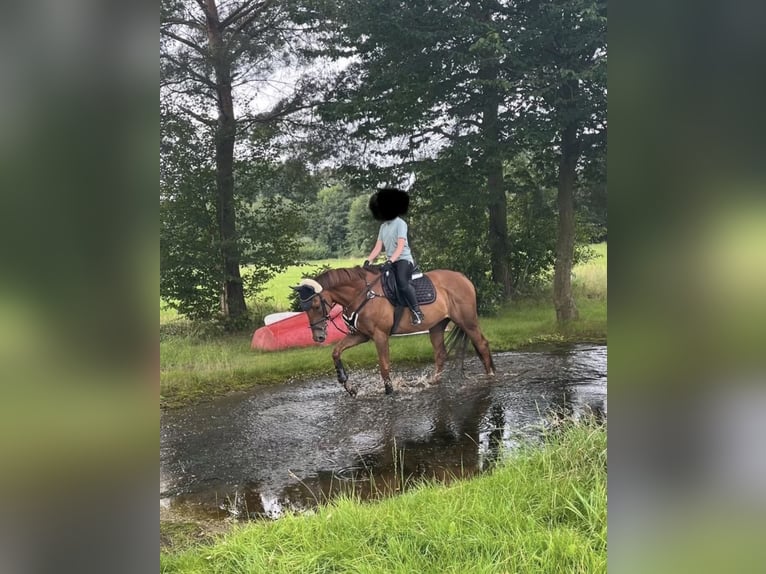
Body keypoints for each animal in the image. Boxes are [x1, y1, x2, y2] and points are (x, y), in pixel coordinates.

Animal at [291, 266, 495, 396]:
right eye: (304, 308)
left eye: (316, 305)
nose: (318, 336)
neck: (361, 294)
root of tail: (463, 278)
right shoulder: (361, 335)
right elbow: (336, 351)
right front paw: (348, 385)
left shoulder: (380, 335)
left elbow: (384, 365)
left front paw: (389, 391)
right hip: (437, 325)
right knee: (440, 354)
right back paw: (432, 382)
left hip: (467, 321)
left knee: (482, 344)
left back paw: (490, 377)